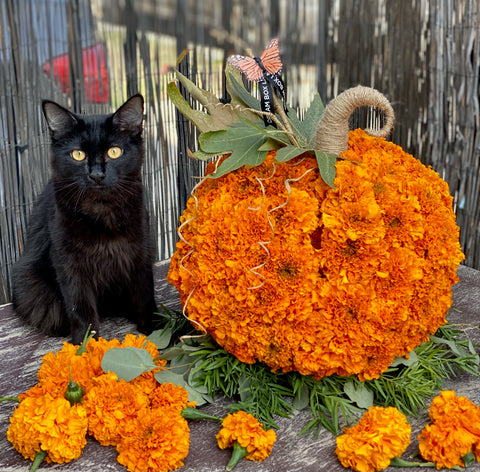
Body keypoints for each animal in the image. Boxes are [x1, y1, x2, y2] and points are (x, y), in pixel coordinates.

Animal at [12, 95, 158, 342]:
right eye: (78, 154)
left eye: (114, 152)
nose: (96, 174)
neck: (102, 213)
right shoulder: (69, 264)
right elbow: (80, 309)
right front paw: (86, 345)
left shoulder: (140, 251)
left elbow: (145, 294)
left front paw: (159, 328)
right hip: (33, 290)